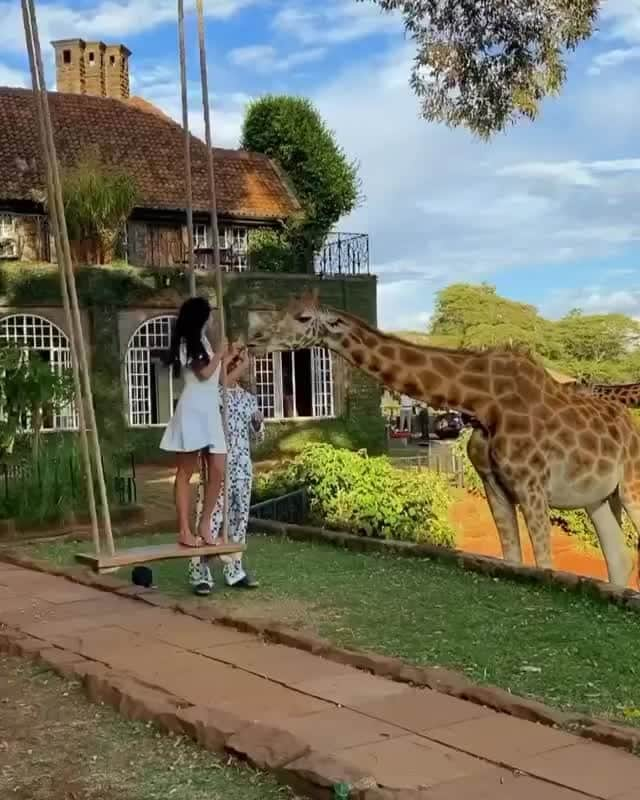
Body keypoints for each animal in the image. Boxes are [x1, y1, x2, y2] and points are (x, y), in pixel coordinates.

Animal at [248, 292, 640, 588]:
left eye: (302, 317)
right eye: (281, 309)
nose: (254, 340)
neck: (483, 400)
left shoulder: (532, 487)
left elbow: (544, 566)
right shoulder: (495, 486)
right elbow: (513, 562)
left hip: (631, 486)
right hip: (598, 498)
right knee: (619, 561)